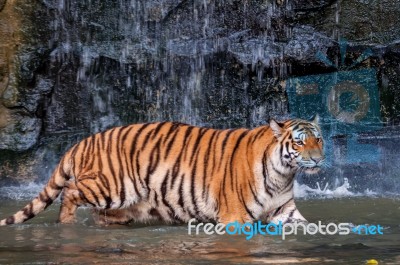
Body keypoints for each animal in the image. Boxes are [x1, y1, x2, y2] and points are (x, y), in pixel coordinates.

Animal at [0, 116, 324, 226]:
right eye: (299, 142)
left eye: (318, 139)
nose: (319, 159)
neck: (283, 173)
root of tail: (82, 141)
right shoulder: (235, 216)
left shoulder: (285, 210)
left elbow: (309, 225)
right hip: (112, 187)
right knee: (69, 193)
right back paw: (66, 224)